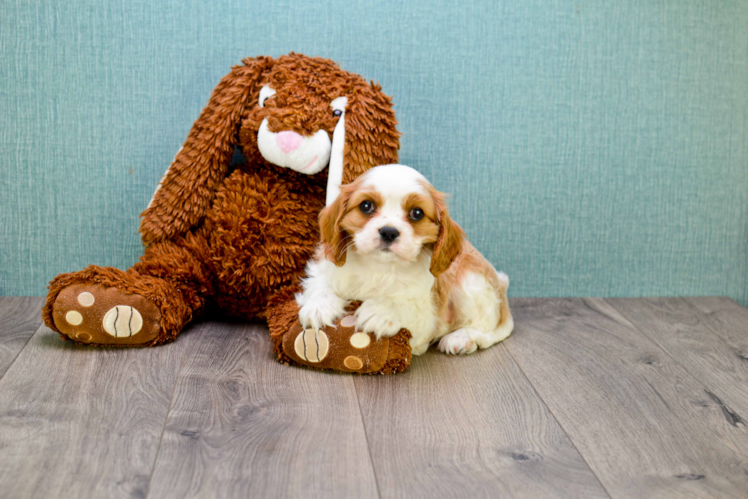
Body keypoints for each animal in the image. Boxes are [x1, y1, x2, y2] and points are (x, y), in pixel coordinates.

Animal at [296, 164, 512, 356]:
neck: (379, 267)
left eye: (417, 213)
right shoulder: (323, 269)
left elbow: (405, 305)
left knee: (487, 330)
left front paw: (381, 311)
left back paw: (461, 338)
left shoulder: (426, 320)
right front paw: (318, 307)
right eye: (366, 206)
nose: (389, 232)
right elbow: (320, 284)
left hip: (471, 282)